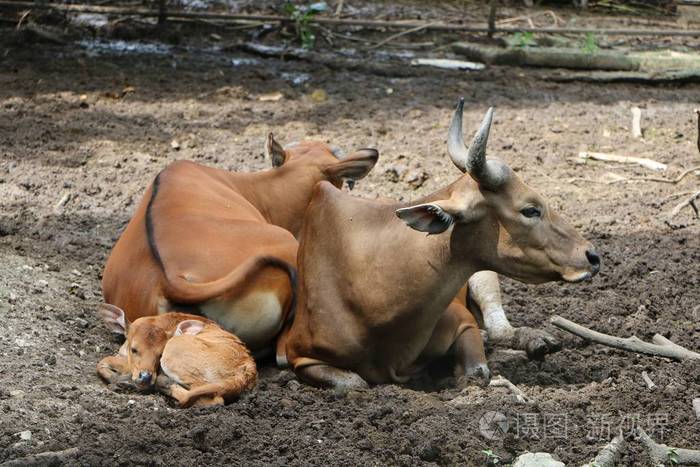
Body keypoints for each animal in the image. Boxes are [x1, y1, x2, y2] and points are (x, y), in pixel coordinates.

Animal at [95, 306, 254, 408]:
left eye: (159, 354)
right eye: (134, 349)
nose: (146, 377)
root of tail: (246, 368)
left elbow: (103, 361)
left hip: (175, 354)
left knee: (213, 399)